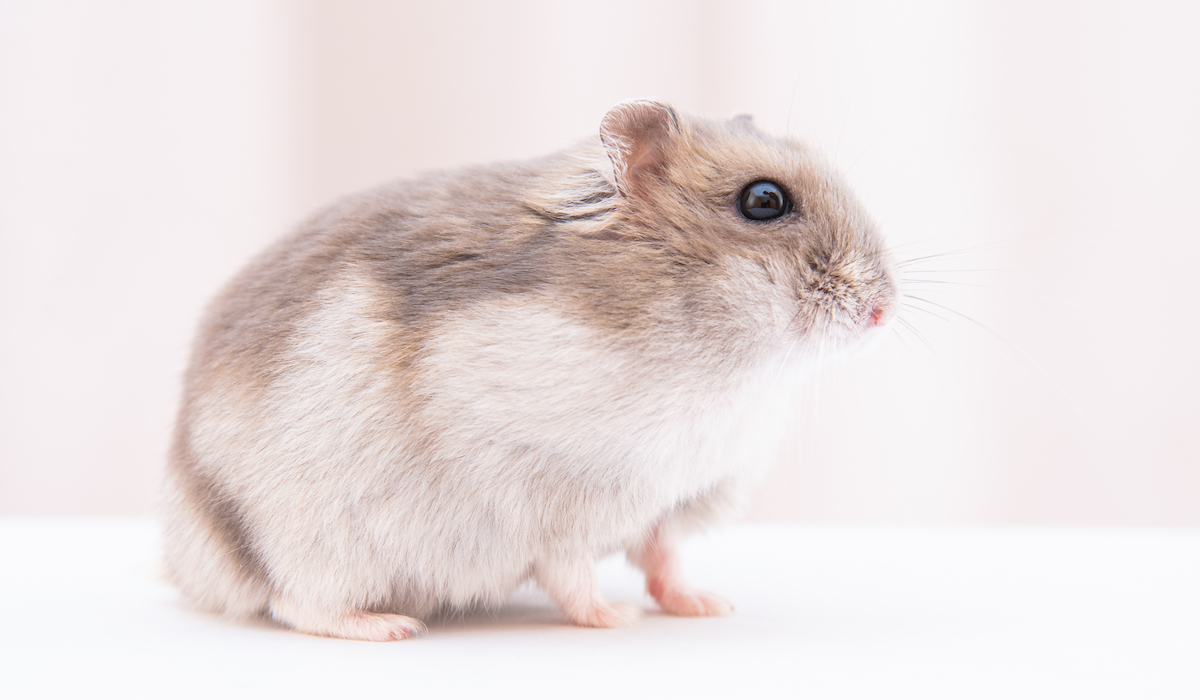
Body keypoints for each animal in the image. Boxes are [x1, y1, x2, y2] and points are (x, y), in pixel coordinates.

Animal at [162, 100, 897, 641]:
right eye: (764, 201)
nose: (883, 311)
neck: (727, 362)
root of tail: (189, 557)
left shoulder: (674, 497)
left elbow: (665, 558)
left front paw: (709, 605)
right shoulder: (553, 500)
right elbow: (572, 575)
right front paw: (617, 619)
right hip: (317, 539)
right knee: (296, 603)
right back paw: (391, 626)